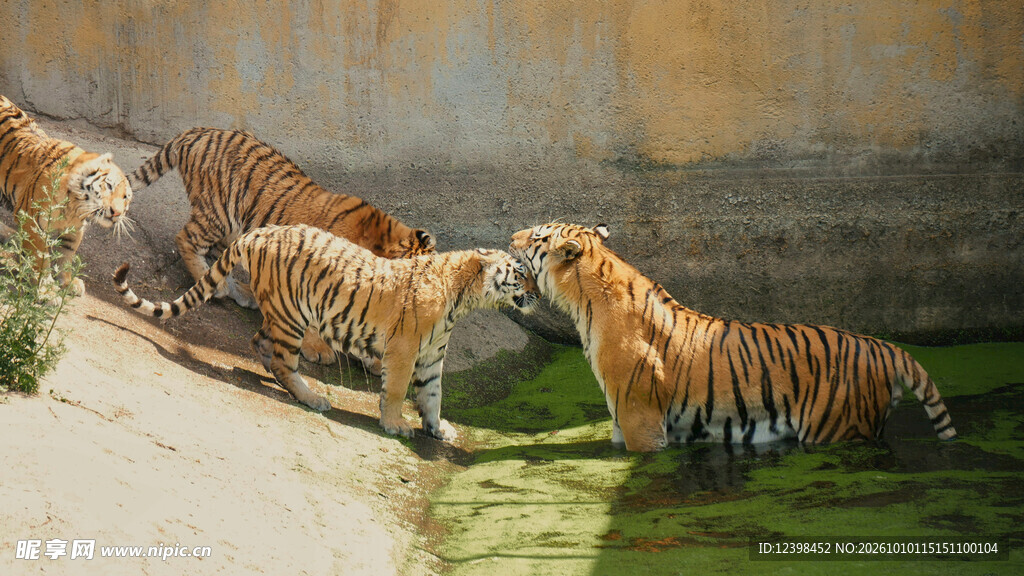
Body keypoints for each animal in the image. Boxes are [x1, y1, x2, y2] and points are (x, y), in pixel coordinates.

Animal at [0, 95, 133, 294]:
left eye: (126, 197)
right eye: (109, 186)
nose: (116, 213)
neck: (75, 206)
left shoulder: (74, 228)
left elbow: (67, 254)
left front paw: (68, 282)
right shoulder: (31, 221)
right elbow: (41, 258)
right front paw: (46, 289)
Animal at [113, 224, 538, 441]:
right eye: (521, 273)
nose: (538, 294)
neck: (464, 299)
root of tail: (258, 232)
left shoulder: (432, 355)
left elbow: (433, 395)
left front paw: (437, 428)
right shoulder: (404, 350)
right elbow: (397, 391)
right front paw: (395, 425)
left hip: (281, 312)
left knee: (260, 344)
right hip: (293, 316)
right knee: (283, 361)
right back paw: (312, 397)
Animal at [127, 127, 435, 366]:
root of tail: (198, 131)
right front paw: (319, 349)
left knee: (219, 256)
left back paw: (240, 291)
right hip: (219, 214)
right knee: (186, 238)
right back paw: (220, 288)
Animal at [510, 222, 957, 452]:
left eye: (537, 236)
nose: (511, 237)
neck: (582, 300)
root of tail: (882, 345)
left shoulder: (639, 419)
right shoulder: (622, 420)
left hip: (836, 427)